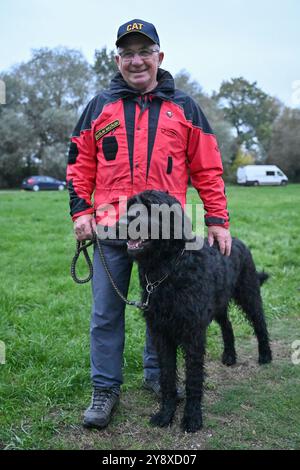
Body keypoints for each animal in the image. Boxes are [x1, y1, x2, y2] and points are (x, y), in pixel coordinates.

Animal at [126, 189, 272, 432]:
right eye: (130, 205)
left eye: (152, 207)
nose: (126, 219)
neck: (167, 269)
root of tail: (236, 240)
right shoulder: (161, 333)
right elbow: (167, 376)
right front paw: (166, 414)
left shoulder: (193, 333)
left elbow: (193, 377)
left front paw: (192, 417)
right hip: (219, 304)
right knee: (227, 325)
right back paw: (230, 355)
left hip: (249, 294)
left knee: (260, 323)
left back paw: (265, 355)